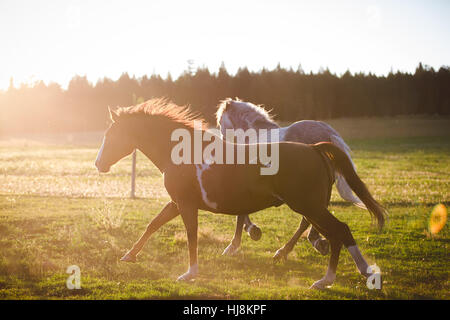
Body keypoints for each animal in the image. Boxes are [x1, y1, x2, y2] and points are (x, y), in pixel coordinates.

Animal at [216, 98, 368, 260]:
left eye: (220, 122)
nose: (223, 142)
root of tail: (327, 135)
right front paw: (251, 230)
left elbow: (240, 213)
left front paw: (235, 244)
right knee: (310, 220)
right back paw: (314, 242)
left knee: (307, 220)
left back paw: (285, 250)